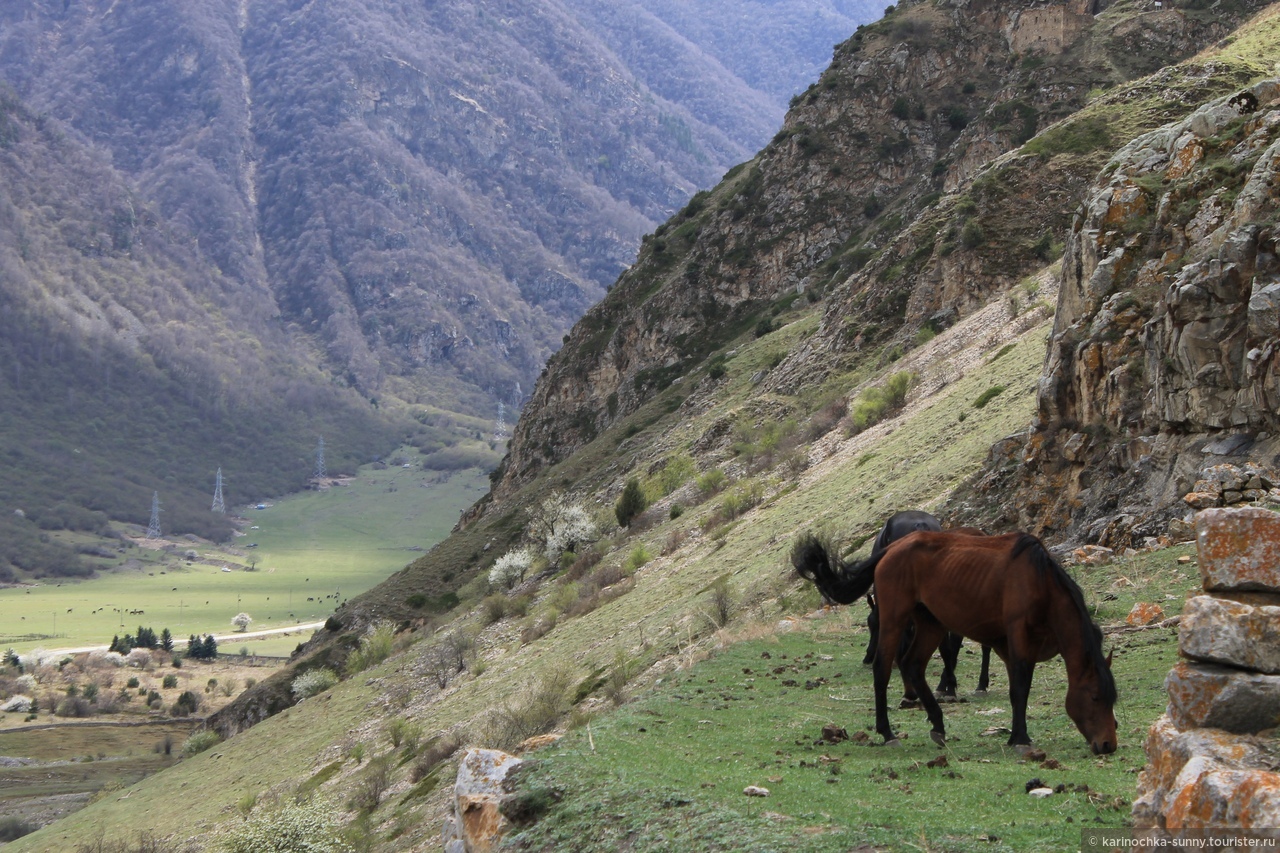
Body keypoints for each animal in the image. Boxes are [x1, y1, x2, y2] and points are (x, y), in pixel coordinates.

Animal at [793, 527, 1116, 753]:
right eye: (1095, 697)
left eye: (1112, 698)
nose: (1108, 745)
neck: (1040, 581)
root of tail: (891, 548)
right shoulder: (1018, 638)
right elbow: (1020, 689)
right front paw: (1021, 738)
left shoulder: (1015, 646)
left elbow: (1017, 689)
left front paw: (1015, 735)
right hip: (895, 619)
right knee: (883, 668)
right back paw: (888, 733)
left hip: (931, 624)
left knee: (913, 665)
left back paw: (937, 724)